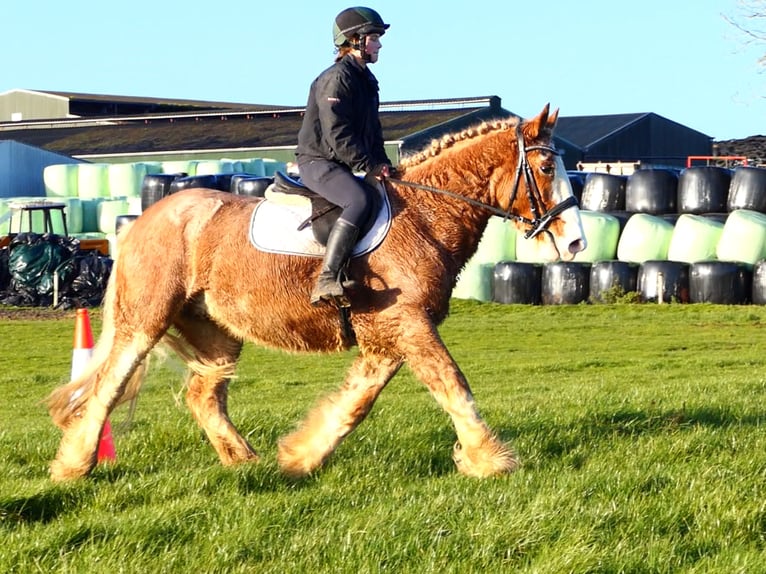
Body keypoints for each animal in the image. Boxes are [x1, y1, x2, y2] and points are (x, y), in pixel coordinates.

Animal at [47, 104, 586, 481]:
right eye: (544, 169)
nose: (577, 242)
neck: (426, 215)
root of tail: (143, 220)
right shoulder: (408, 323)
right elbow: (452, 383)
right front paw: (490, 459)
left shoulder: (387, 335)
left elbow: (356, 404)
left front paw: (300, 457)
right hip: (146, 320)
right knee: (109, 384)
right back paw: (74, 465)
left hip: (216, 331)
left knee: (204, 395)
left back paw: (245, 461)